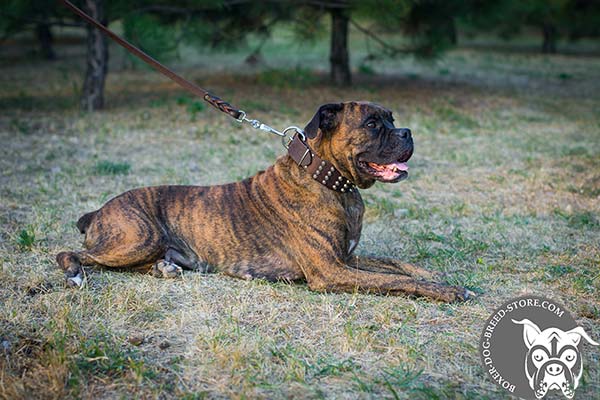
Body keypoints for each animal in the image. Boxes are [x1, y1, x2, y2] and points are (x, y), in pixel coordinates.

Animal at [56, 101, 468, 302]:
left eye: (392, 119)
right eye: (372, 124)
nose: (408, 132)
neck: (330, 180)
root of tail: (98, 210)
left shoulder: (346, 258)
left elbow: (397, 266)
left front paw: (434, 275)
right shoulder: (330, 271)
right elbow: (395, 281)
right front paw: (447, 290)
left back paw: (164, 269)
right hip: (140, 237)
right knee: (71, 253)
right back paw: (75, 274)